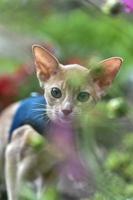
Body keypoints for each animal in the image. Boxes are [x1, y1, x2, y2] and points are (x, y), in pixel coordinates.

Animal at [0, 44, 123, 199]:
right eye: (55, 92)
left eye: (83, 96)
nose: (66, 110)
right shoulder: (12, 152)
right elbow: (15, 193)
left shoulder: (55, 169)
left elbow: (45, 195)